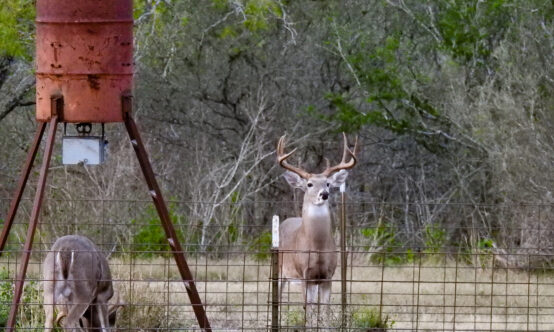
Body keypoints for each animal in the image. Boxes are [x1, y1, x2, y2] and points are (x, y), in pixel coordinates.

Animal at [276, 132, 358, 316]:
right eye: (309, 184)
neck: (317, 248)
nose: (325, 194)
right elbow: (309, 311)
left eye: (328, 183)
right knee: (278, 299)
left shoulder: (328, 276)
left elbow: (324, 310)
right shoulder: (304, 275)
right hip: (281, 270)